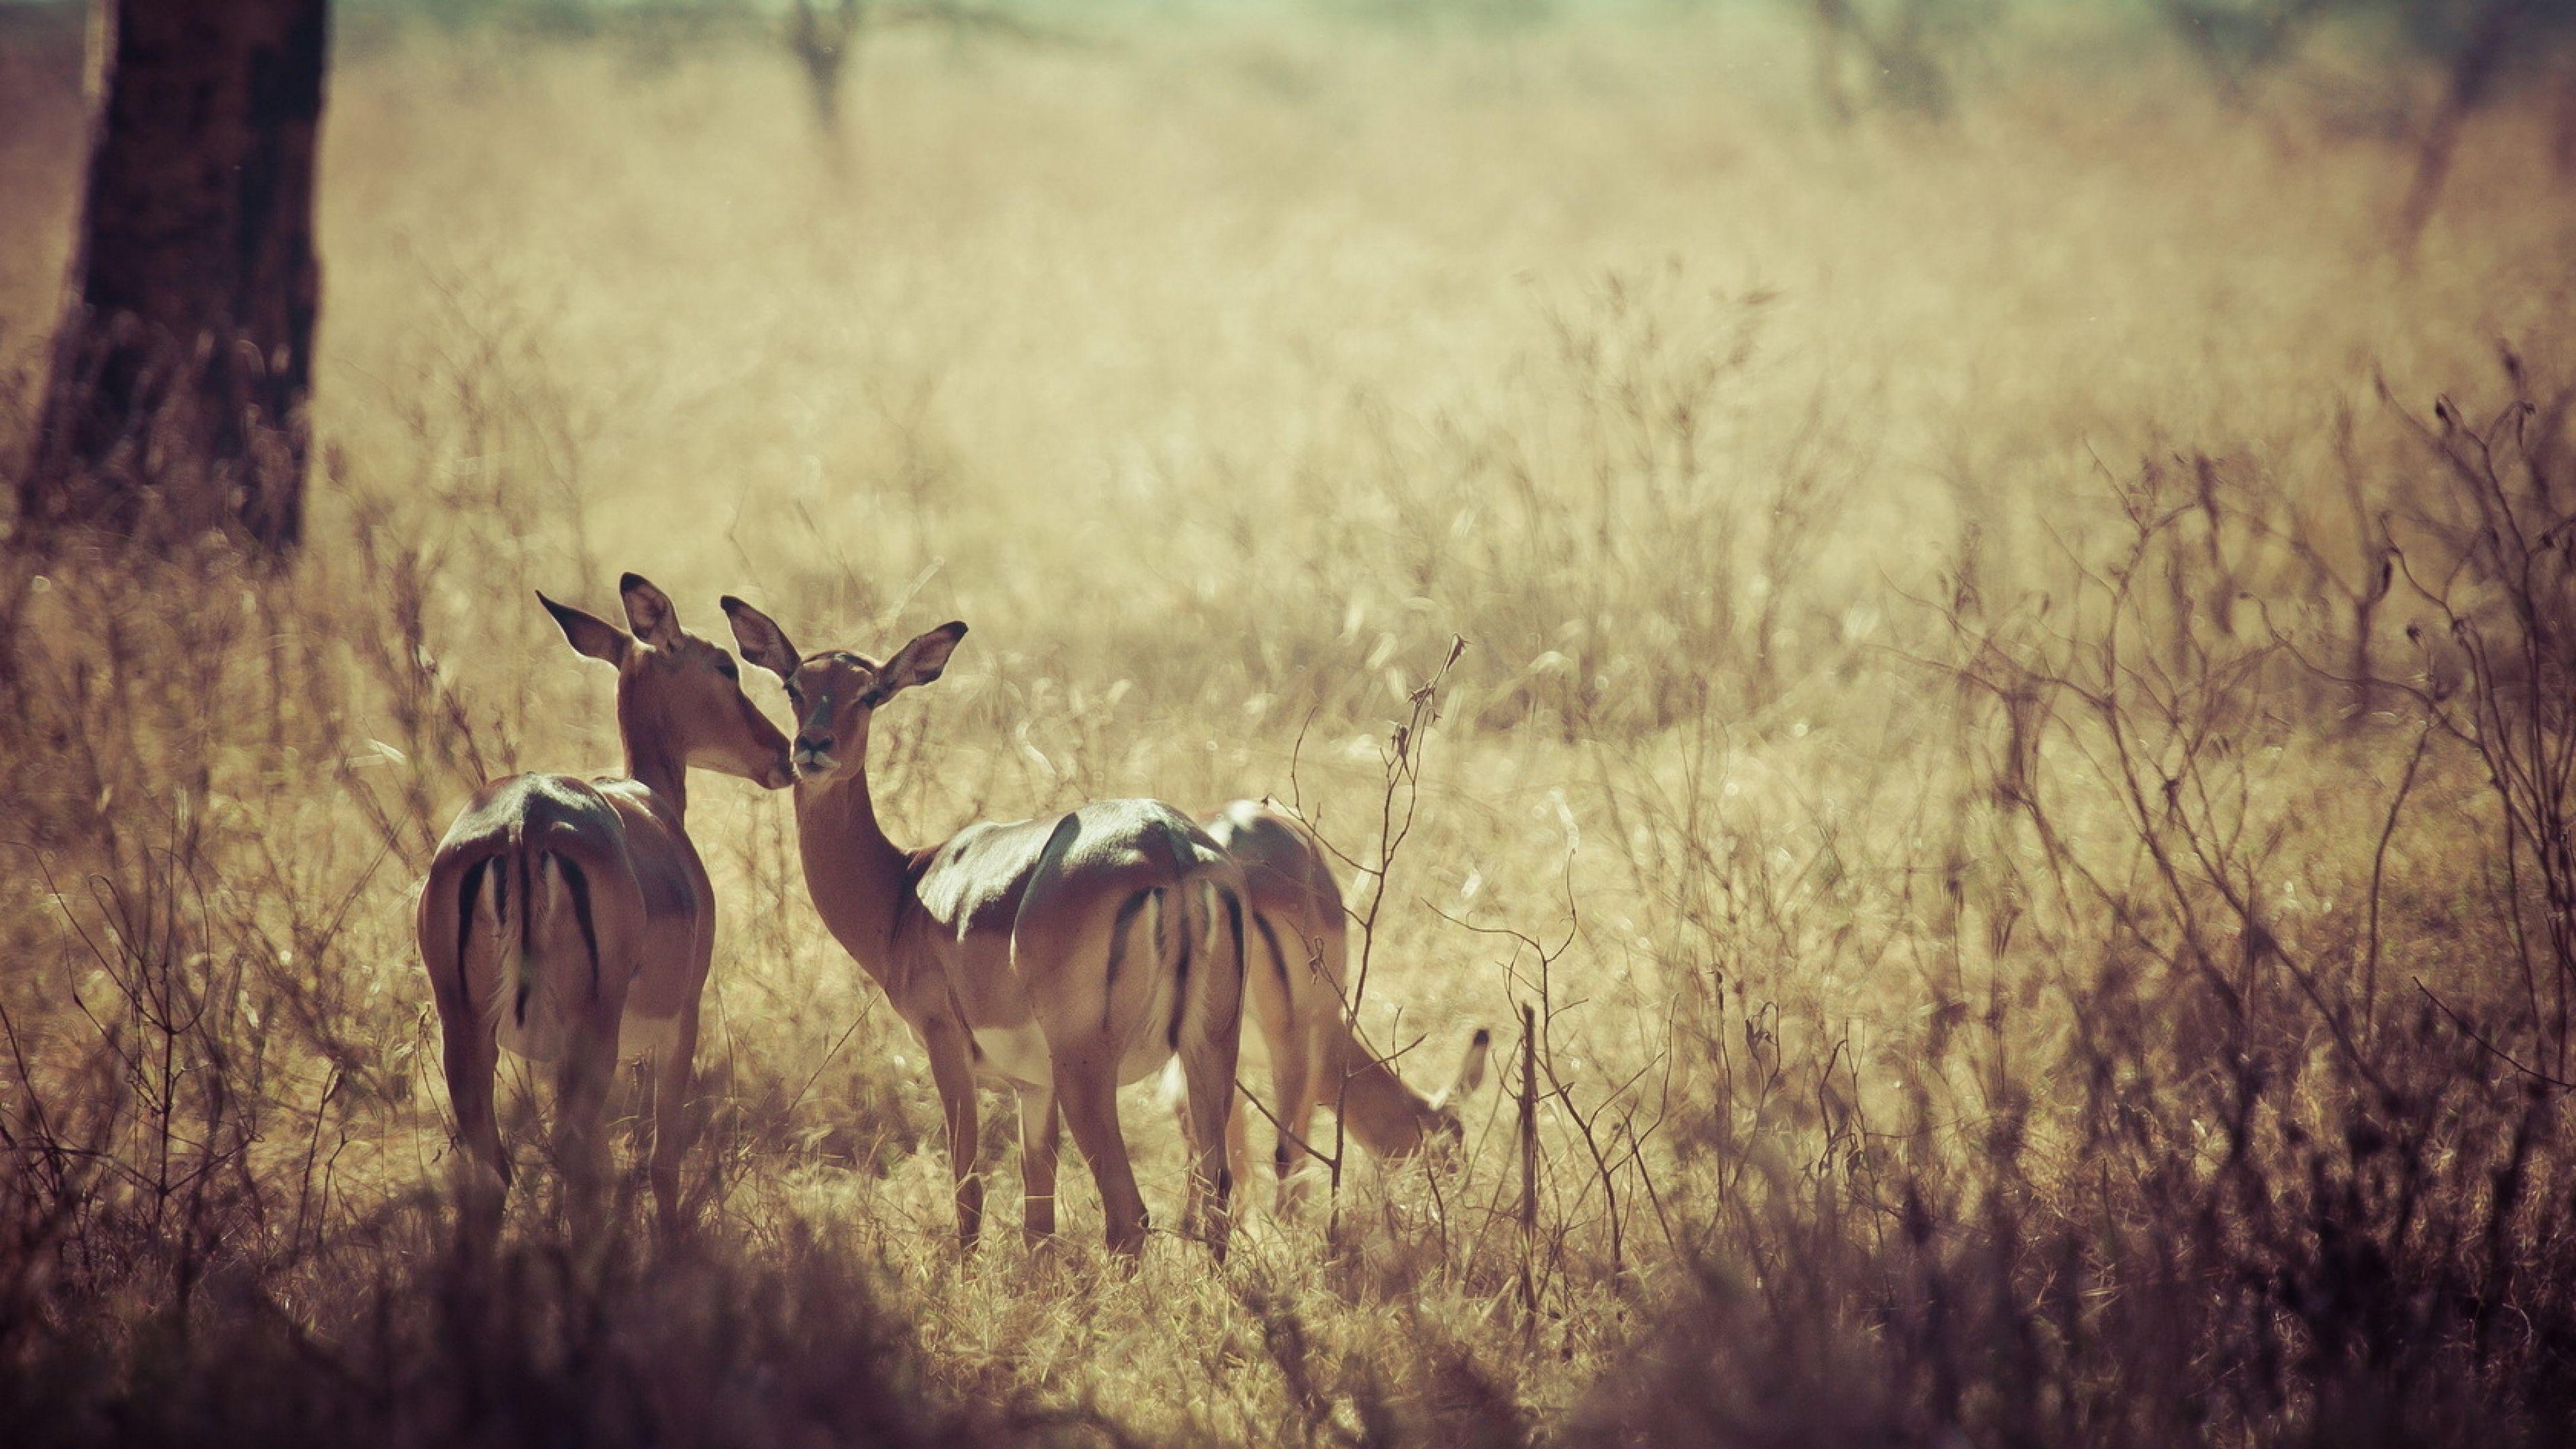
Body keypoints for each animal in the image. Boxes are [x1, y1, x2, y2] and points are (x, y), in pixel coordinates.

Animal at [415, 575, 793, 1238]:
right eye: (727, 666)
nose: (785, 753)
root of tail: (524, 821)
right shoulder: (683, 1019)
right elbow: (662, 1159)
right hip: (591, 1031)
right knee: (575, 1157)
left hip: (464, 1029)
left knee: (493, 1171)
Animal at [720, 599, 1247, 1259]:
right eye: (794, 686)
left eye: (869, 694)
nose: (812, 747)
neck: (904, 890)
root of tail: (1170, 850)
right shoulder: (1033, 1088)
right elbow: (1037, 1224)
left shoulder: (946, 1046)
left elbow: (967, 1194)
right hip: (1210, 1049)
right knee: (1218, 1199)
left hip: (1087, 1068)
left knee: (1130, 1216)